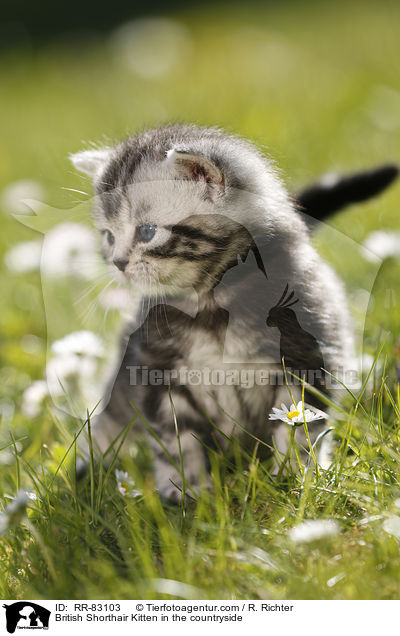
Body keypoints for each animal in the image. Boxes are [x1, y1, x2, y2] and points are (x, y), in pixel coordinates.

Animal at [69, 125, 396, 502]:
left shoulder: (307, 355)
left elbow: (300, 428)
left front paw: (298, 479)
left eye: (147, 232)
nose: (117, 262)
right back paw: (85, 469)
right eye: (108, 236)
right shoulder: (157, 371)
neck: (211, 303)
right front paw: (185, 490)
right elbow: (175, 437)